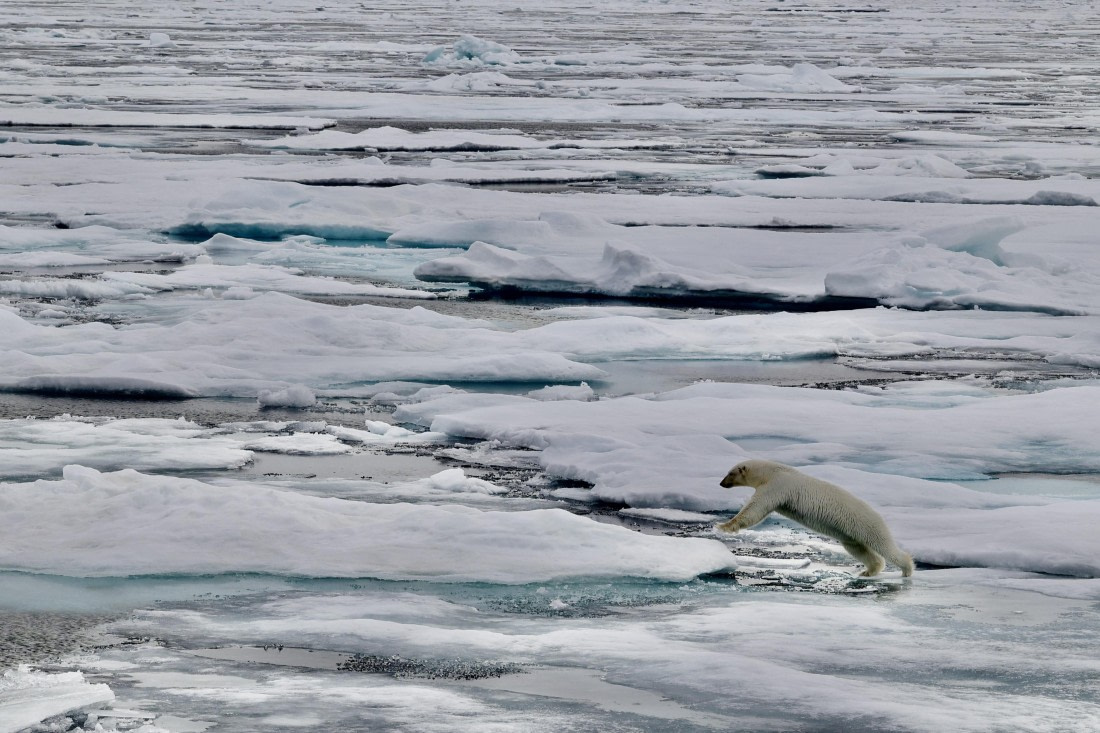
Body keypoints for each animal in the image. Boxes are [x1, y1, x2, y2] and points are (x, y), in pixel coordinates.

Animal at [717, 459, 914, 577]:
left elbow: (755, 509)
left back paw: (907, 569)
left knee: (883, 545)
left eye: (730, 473)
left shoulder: (776, 486)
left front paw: (723, 526)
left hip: (866, 524)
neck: (771, 471)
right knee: (858, 548)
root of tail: (878, 515)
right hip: (849, 533)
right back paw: (869, 571)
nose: (721, 483)